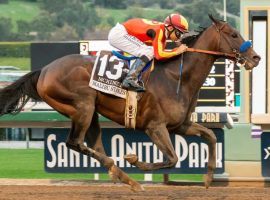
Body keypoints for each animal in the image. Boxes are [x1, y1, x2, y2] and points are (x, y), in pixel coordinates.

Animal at [0, 15, 260, 191]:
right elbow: (172, 158)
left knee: (94, 145)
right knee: (75, 143)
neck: (177, 76)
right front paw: (136, 160)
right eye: (234, 34)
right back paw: (127, 176)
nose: (255, 57)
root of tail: (44, 70)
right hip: (82, 106)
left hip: (91, 112)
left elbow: (211, 136)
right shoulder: (155, 127)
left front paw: (208, 178)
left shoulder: (180, 125)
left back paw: (124, 177)